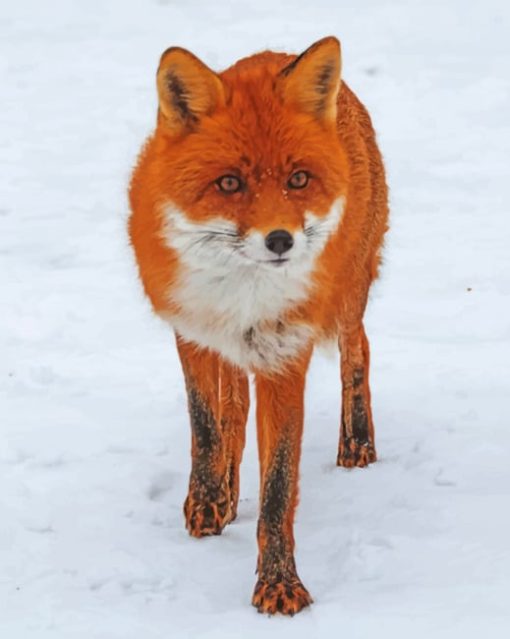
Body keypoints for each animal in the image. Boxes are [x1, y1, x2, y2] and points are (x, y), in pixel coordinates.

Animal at [128, 36, 390, 616]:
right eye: (230, 182)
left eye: (297, 180)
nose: (280, 240)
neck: (244, 296)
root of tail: (278, 51)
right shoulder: (193, 331)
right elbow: (207, 426)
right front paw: (208, 499)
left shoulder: (284, 355)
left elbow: (277, 487)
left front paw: (279, 585)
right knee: (233, 407)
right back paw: (223, 492)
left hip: (347, 296)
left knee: (358, 348)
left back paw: (357, 443)